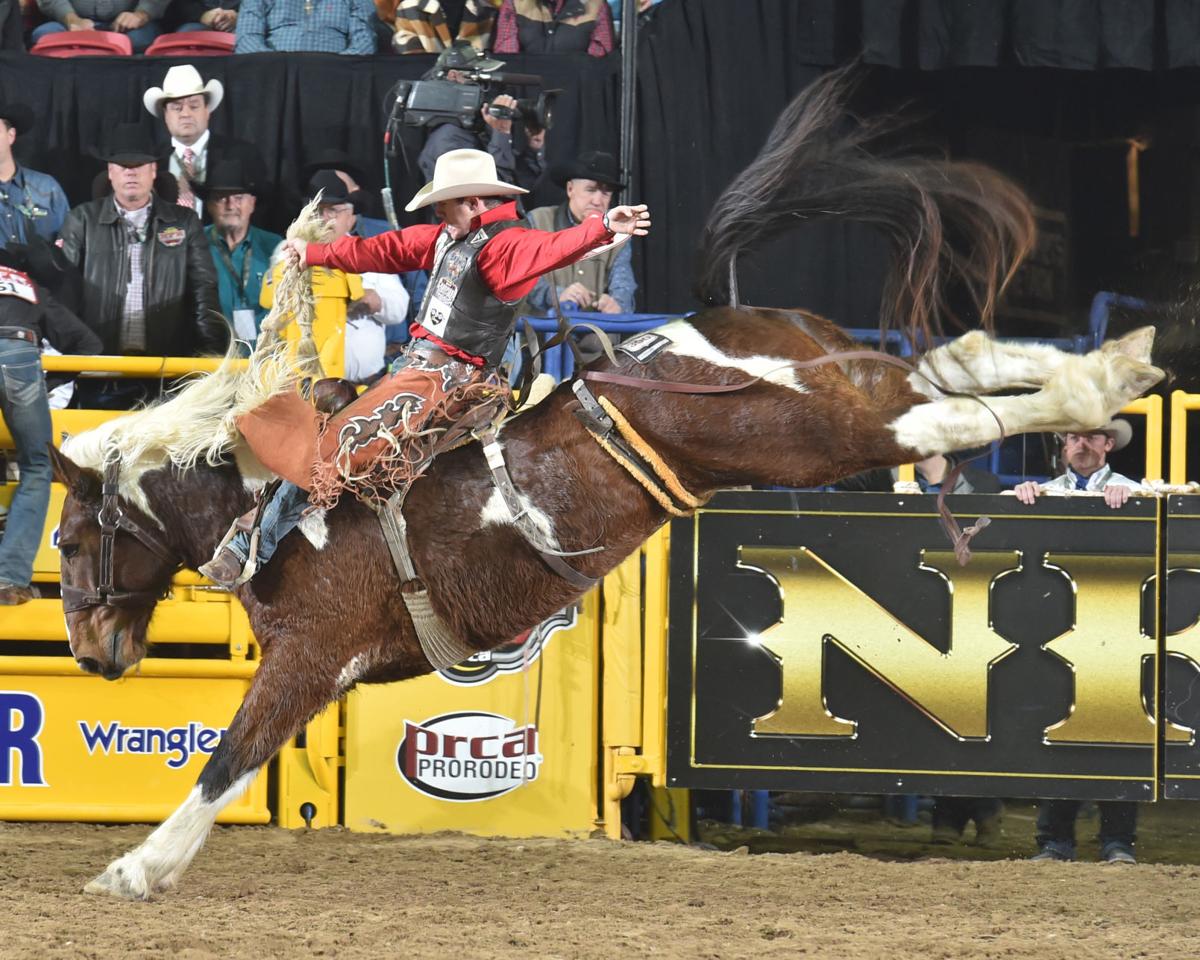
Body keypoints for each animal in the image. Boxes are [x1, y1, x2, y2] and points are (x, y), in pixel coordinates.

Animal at [54, 69, 1161, 902]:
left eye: (65, 542)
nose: (93, 653)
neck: (267, 506)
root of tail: (714, 321)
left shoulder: (309, 658)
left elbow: (227, 758)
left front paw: (134, 869)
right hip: (840, 382)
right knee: (957, 362)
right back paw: (1116, 368)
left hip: (806, 431)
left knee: (941, 416)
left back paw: (1101, 382)